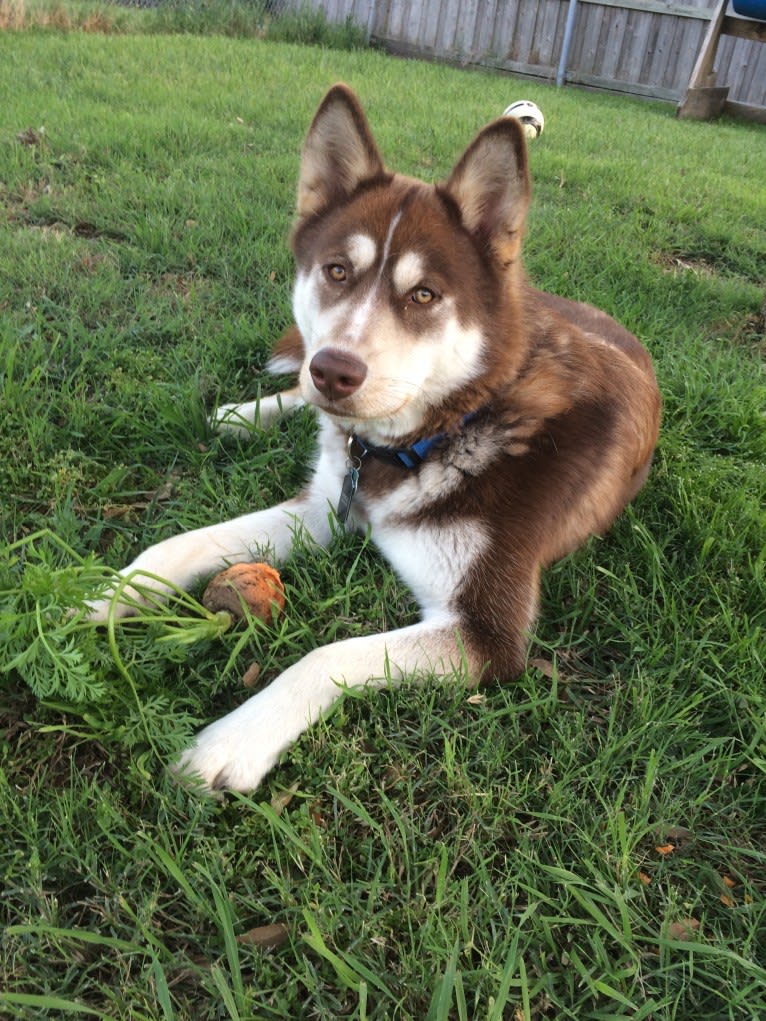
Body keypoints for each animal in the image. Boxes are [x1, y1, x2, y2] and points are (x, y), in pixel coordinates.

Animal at [92, 85, 661, 788]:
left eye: (424, 295)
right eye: (337, 271)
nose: (334, 370)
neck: (444, 430)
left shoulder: (486, 634)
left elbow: (328, 654)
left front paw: (232, 742)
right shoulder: (323, 508)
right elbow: (178, 544)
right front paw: (105, 597)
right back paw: (245, 415)